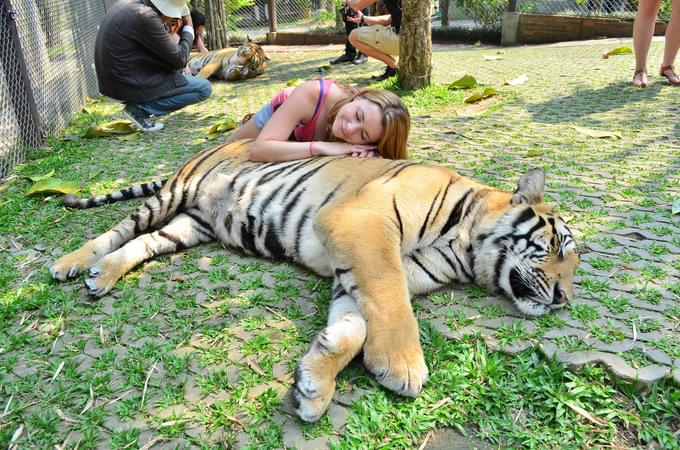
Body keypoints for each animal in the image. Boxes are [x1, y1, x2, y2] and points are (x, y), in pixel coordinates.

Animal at [49, 140, 580, 422]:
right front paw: (403, 365)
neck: (466, 246)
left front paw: (314, 384)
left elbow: (355, 324)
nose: (563, 300)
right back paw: (73, 264)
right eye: (557, 248)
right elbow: (390, 304)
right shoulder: (366, 229)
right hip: (174, 193)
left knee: (144, 243)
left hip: (192, 225)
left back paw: (104, 275)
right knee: (117, 230)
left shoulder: (368, 270)